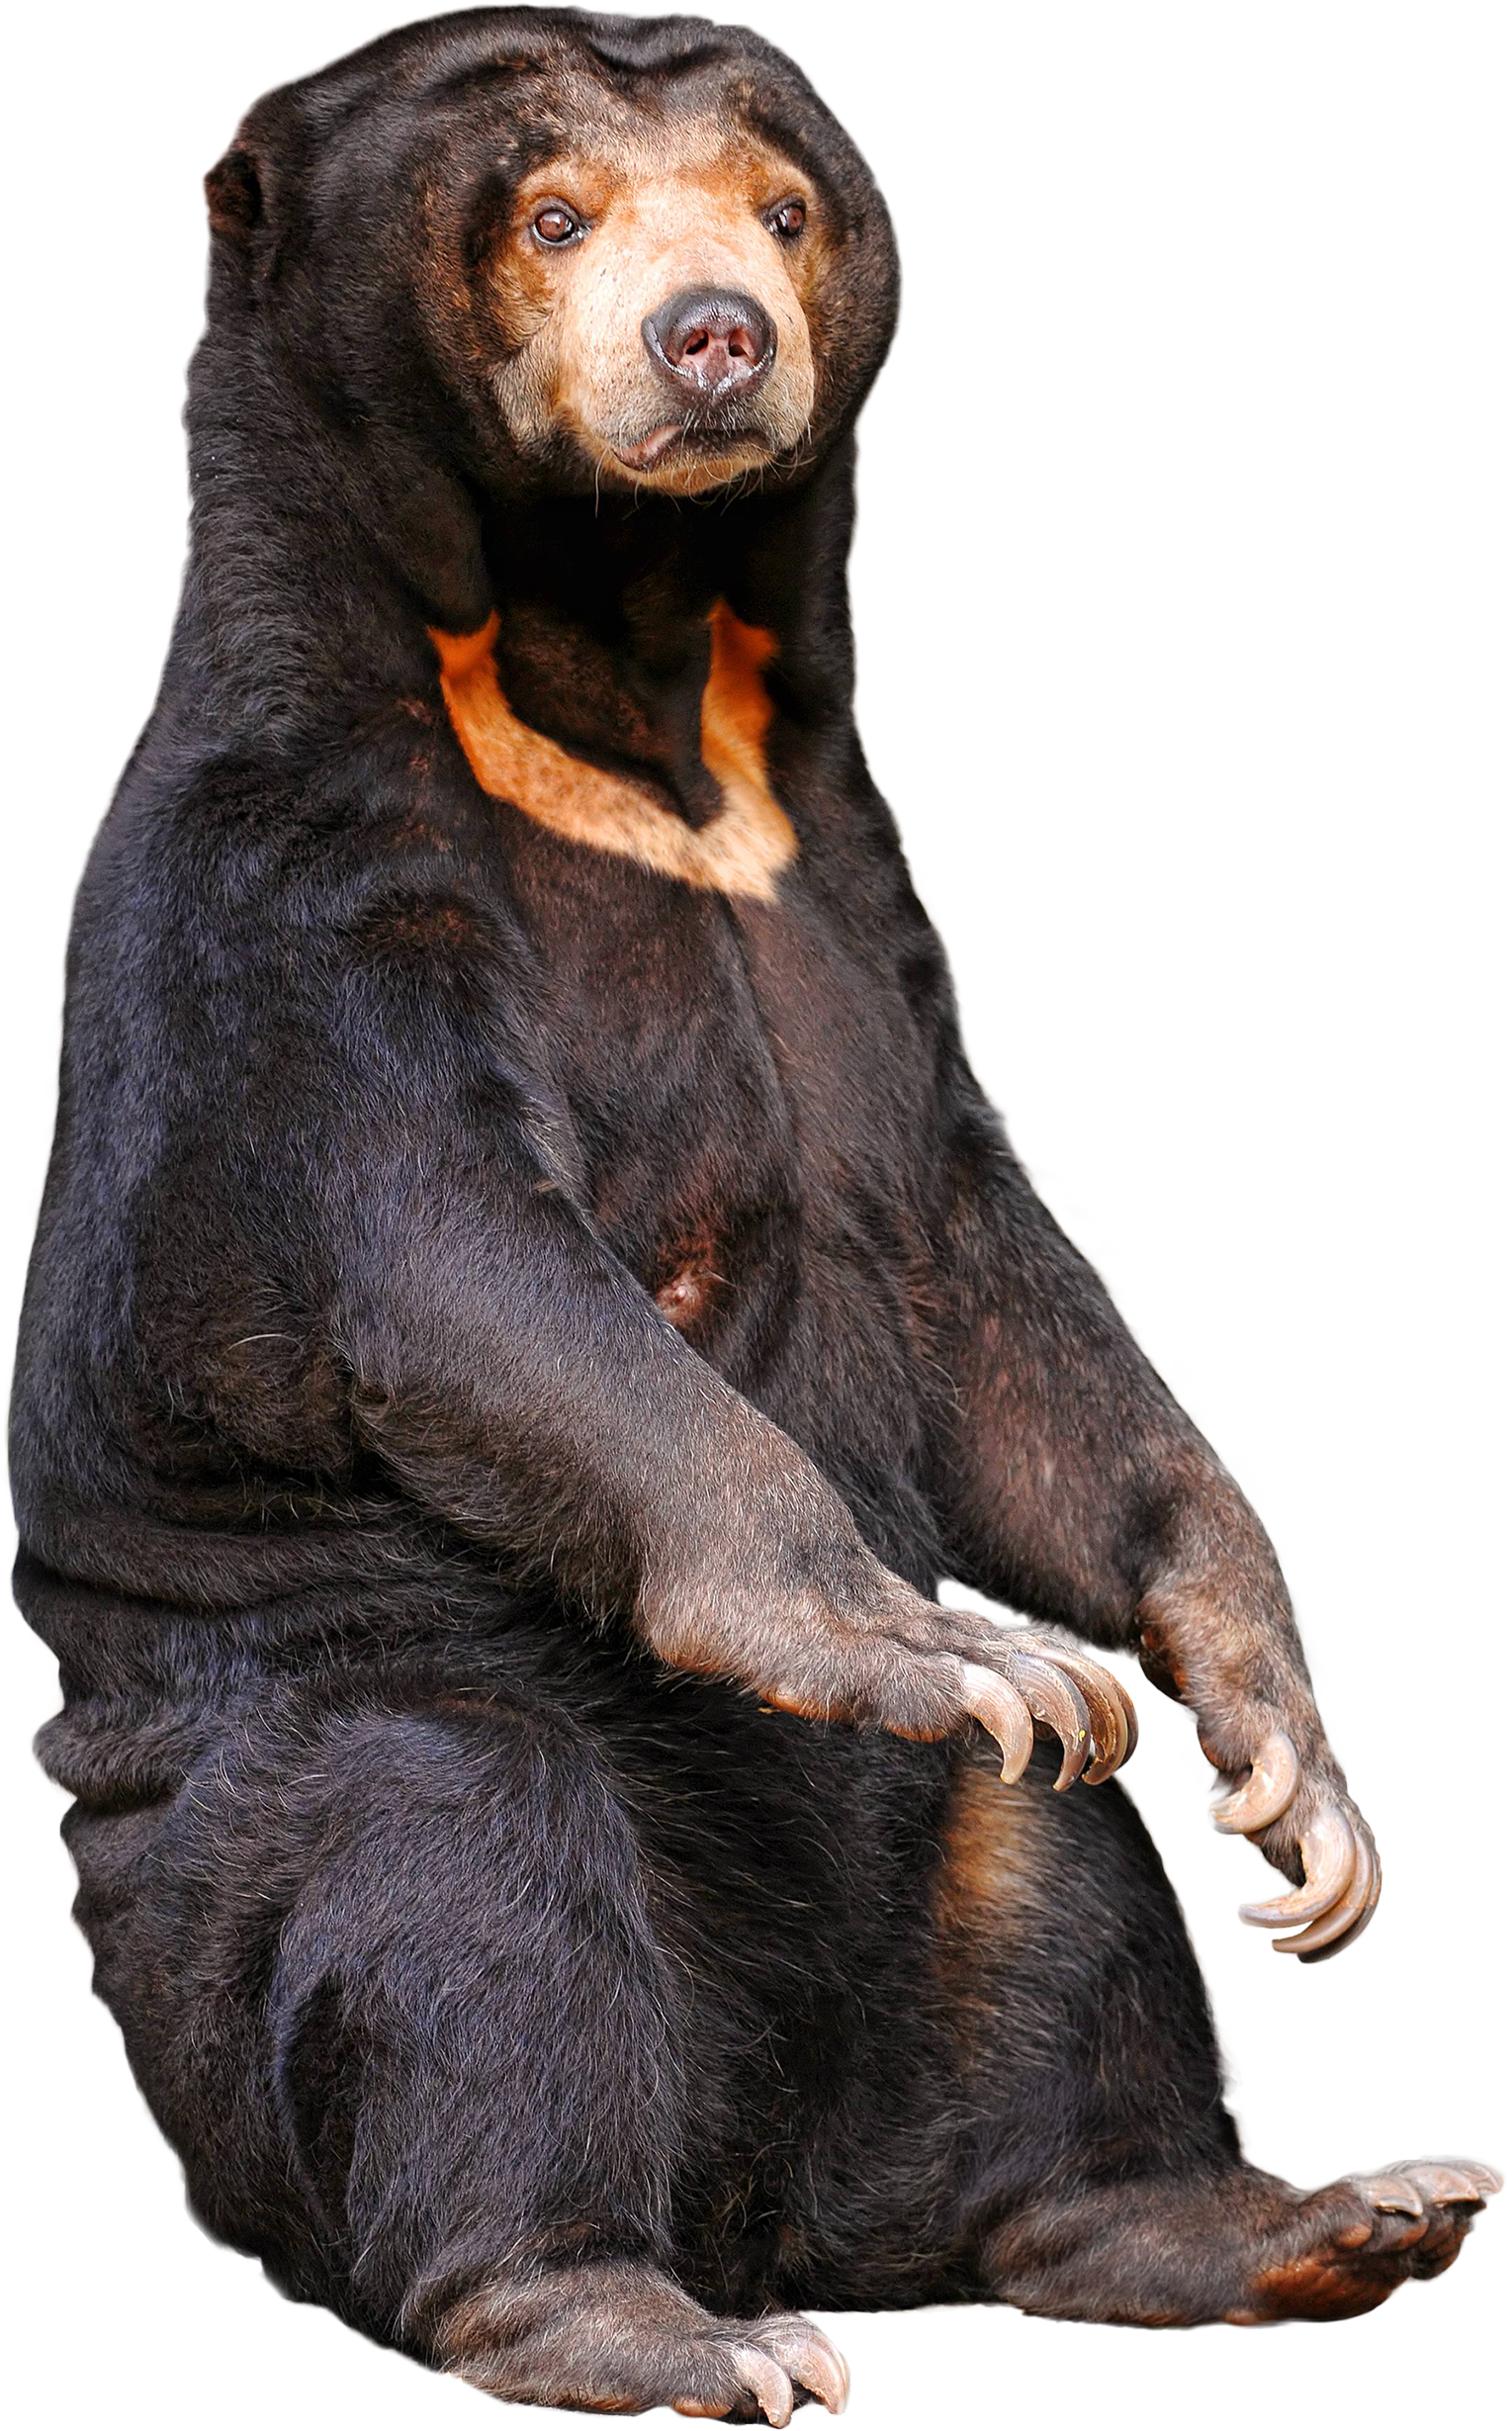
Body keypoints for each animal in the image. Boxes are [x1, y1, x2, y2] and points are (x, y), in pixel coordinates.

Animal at [12, 5, 1499, 2409]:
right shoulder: (300, 875)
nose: (711, 334)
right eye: (548, 212)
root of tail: (760, 2192)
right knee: (470, 1884)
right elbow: (459, 1263)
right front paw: (928, 1636)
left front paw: (1290, 1777)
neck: (610, 679)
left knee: (1057, 1878)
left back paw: (1282, 2216)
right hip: (283, 1805)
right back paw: (649, 2317)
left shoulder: (833, 874)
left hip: (920, 1922)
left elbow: (985, 1281)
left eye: (781, 206)